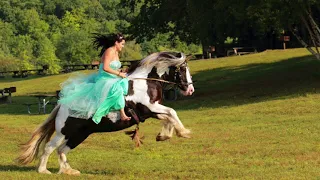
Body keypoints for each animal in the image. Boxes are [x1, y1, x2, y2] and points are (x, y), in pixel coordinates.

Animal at [17, 51, 195, 175]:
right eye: (183, 68)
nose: (191, 90)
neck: (146, 83)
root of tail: (62, 105)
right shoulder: (149, 108)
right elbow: (172, 112)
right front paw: (184, 133)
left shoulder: (152, 110)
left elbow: (169, 116)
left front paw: (164, 135)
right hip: (64, 131)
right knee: (49, 147)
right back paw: (43, 170)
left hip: (80, 134)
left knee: (62, 150)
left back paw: (68, 171)